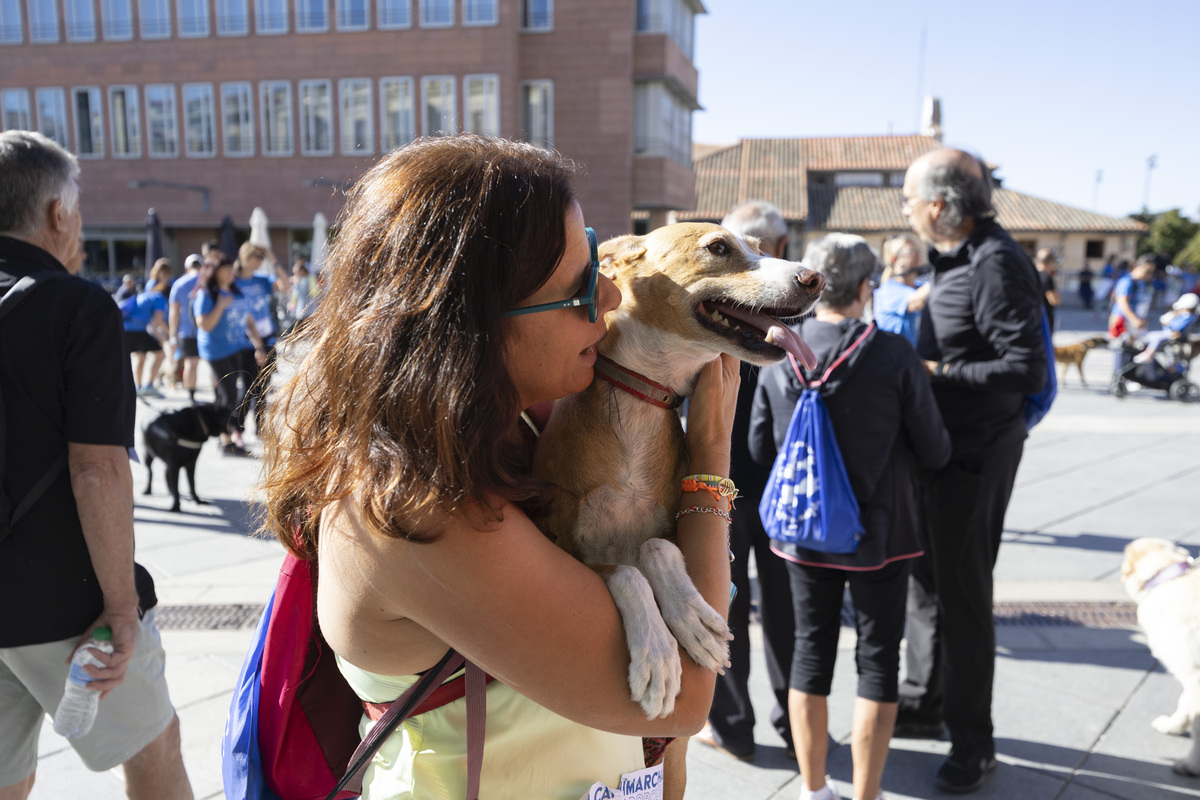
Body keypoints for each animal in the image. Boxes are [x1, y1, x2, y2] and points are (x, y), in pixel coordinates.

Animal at [1118, 537, 1200, 777]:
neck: (1172, 576)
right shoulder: (1190, 675)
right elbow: (1184, 704)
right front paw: (1173, 726)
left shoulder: (1195, 677)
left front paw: (1192, 764)